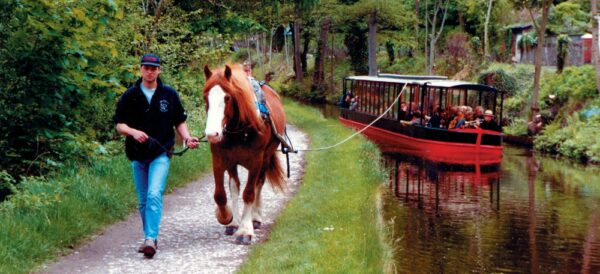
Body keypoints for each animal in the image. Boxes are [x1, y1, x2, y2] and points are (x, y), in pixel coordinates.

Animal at [202, 65, 286, 246]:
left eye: (227, 97)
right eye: (206, 97)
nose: (212, 134)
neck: (239, 130)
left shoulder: (256, 161)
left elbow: (249, 193)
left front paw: (246, 230)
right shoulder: (220, 159)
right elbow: (221, 194)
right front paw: (227, 217)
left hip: (265, 159)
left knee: (258, 185)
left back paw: (255, 217)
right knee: (235, 187)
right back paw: (235, 222)